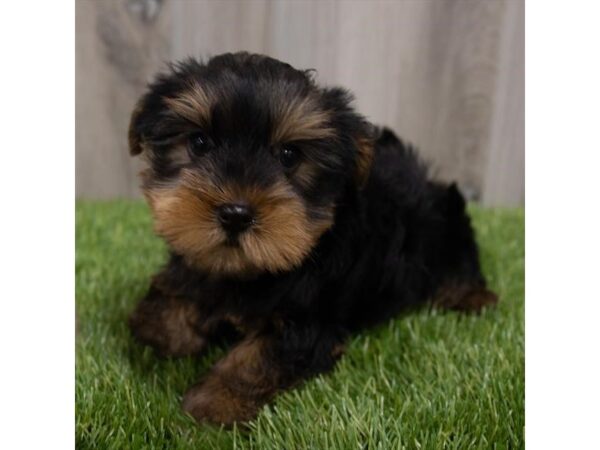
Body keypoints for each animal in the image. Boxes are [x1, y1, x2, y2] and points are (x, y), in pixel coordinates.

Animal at [126, 52, 496, 426]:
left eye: (289, 155)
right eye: (199, 143)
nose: (235, 214)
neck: (250, 272)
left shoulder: (310, 321)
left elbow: (258, 358)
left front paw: (211, 405)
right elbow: (165, 314)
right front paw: (166, 320)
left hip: (450, 229)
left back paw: (471, 296)